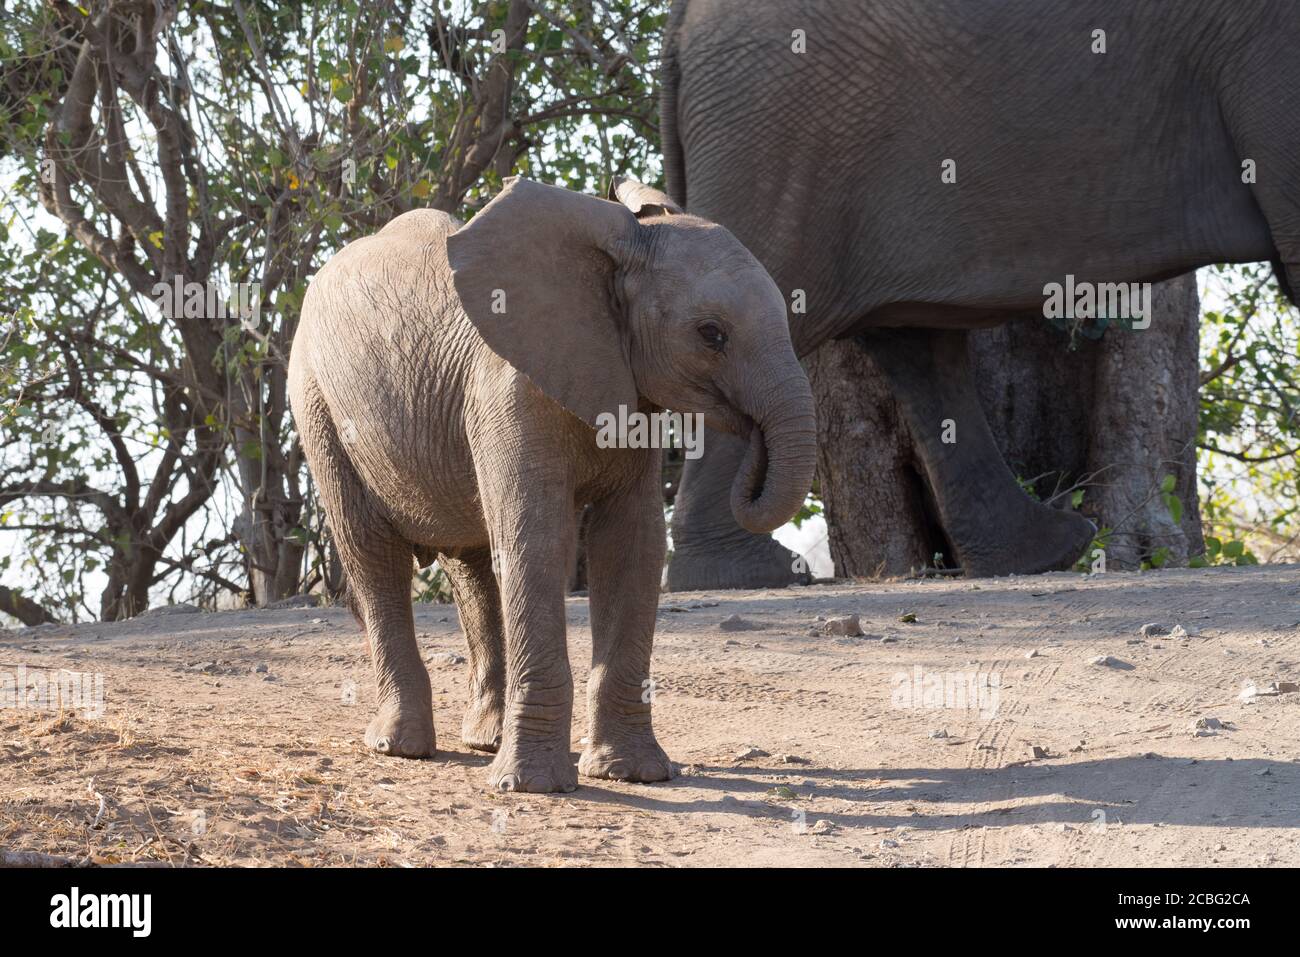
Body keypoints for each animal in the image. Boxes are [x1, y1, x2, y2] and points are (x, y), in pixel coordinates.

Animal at [288, 177, 816, 793]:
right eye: (712, 335)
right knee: (373, 554)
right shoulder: (509, 389)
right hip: (316, 403)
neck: (621, 243)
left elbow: (631, 545)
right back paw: (399, 746)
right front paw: (533, 785)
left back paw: (484, 738)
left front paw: (633, 774)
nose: (751, 444)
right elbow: (538, 540)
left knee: (472, 563)